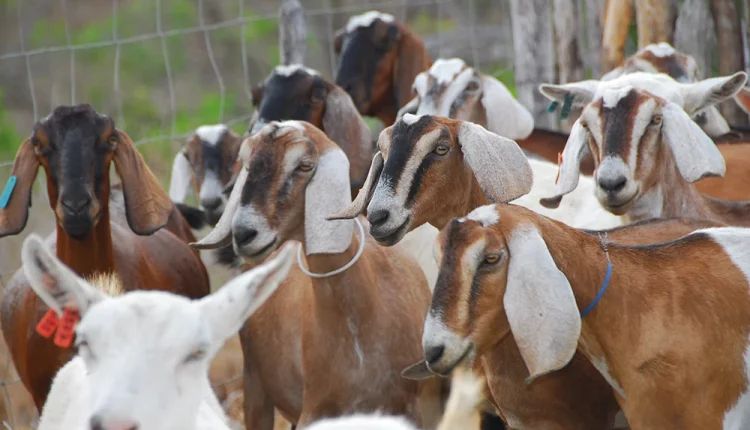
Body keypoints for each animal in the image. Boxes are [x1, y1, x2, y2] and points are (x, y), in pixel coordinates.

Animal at [191, 120, 443, 429]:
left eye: (304, 165)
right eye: (247, 164)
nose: (244, 234)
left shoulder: (413, 408)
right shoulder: (313, 409)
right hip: (255, 386)